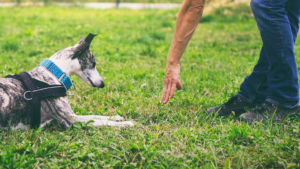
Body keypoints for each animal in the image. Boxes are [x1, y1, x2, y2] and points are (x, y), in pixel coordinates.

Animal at [0, 33, 134, 130]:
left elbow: (96, 116)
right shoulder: (71, 120)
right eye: (93, 64)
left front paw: (116, 117)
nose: (102, 84)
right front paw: (127, 124)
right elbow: (102, 122)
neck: (54, 73)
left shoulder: (74, 115)